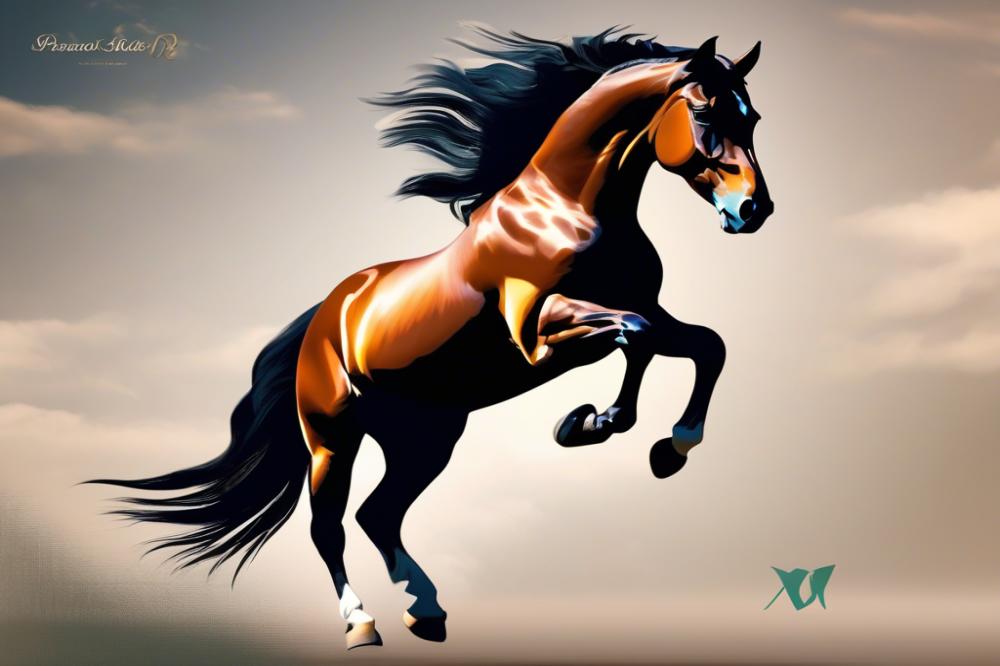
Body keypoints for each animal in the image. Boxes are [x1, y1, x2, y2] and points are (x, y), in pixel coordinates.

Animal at [89, 28, 773, 651]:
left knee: (379, 514)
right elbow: (637, 336)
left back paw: (427, 610)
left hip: (425, 437)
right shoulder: (539, 332)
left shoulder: (643, 309)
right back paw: (362, 625)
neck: (569, 206)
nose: (753, 211)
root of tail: (324, 317)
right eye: (705, 113)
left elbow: (702, 344)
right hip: (332, 439)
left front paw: (660, 444)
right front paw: (591, 423)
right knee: (330, 528)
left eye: (754, 116)